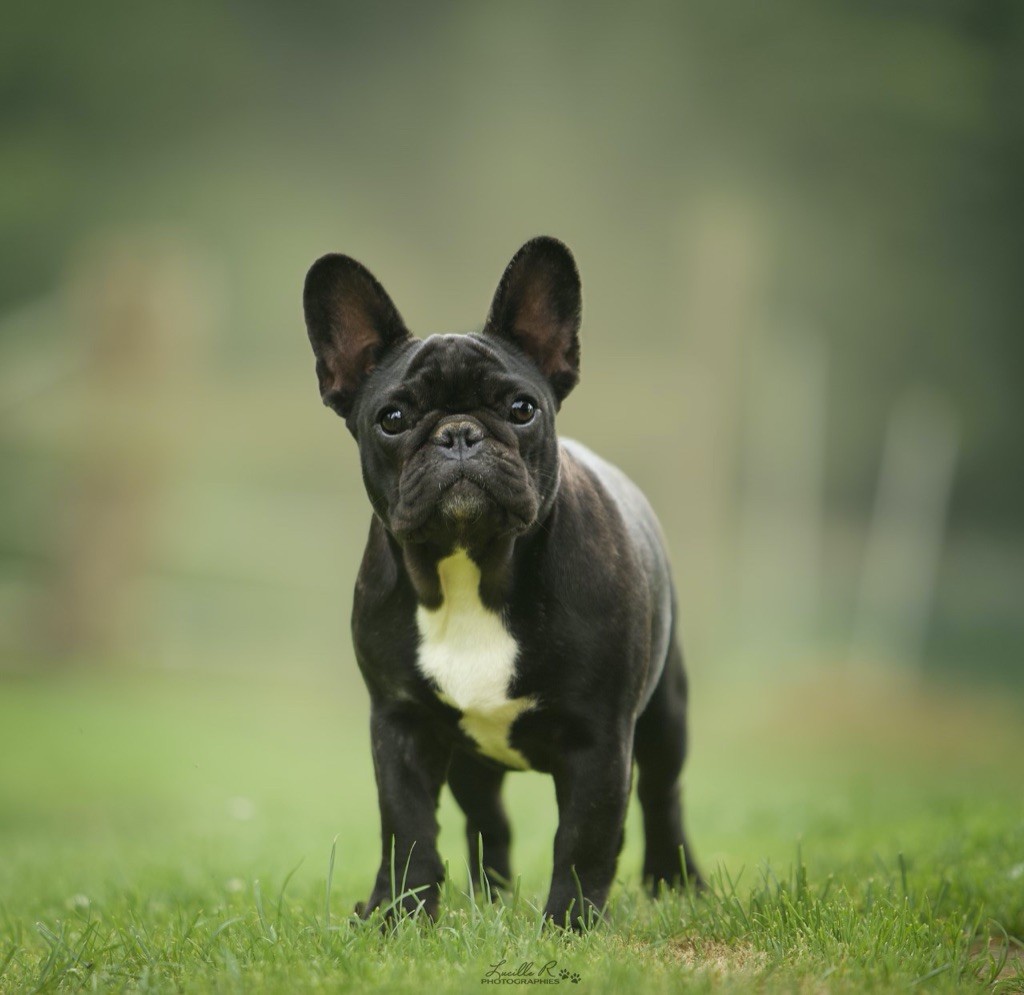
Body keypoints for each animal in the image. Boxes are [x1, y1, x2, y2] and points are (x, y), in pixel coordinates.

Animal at [302, 236, 702, 928]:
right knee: (487, 820)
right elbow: (406, 827)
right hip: (472, 759)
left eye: (521, 409)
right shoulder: (401, 725)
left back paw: (673, 883)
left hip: (664, 718)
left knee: (661, 796)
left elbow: (584, 837)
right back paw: (491, 897)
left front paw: (568, 926)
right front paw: (401, 918)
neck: (470, 572)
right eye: (392, 418)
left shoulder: (600, 738)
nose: (458, 433)